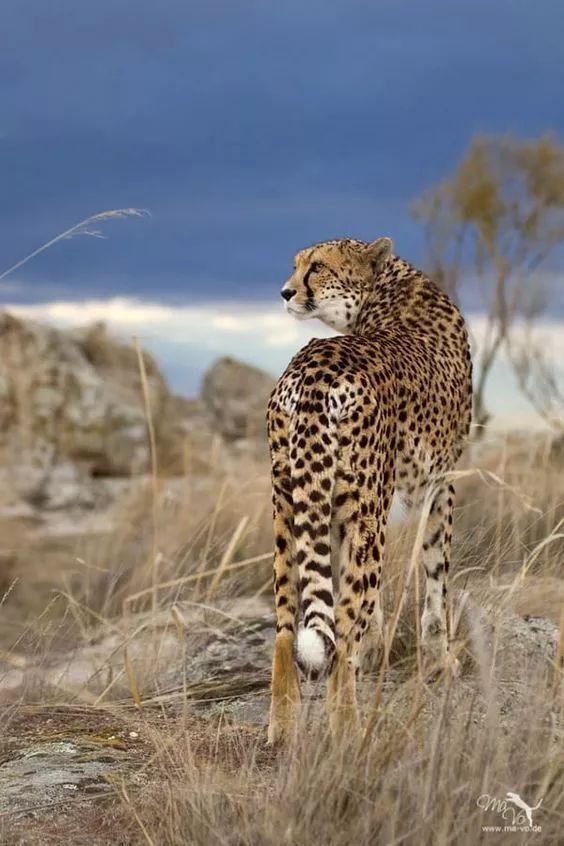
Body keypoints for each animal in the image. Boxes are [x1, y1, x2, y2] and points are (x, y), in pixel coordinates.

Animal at [264, 235, 472, 744]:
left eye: (315, 267)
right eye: (298, 266)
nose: (285, 292)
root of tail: (312, 364)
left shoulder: (337, 508)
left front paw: (378, 650)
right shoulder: (438, 485)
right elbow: (436, 581)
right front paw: (443, 660)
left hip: (287, 505)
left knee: (287, 626)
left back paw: (283, 726)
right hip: (369, 512)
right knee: (341, 627)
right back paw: (349, 732)